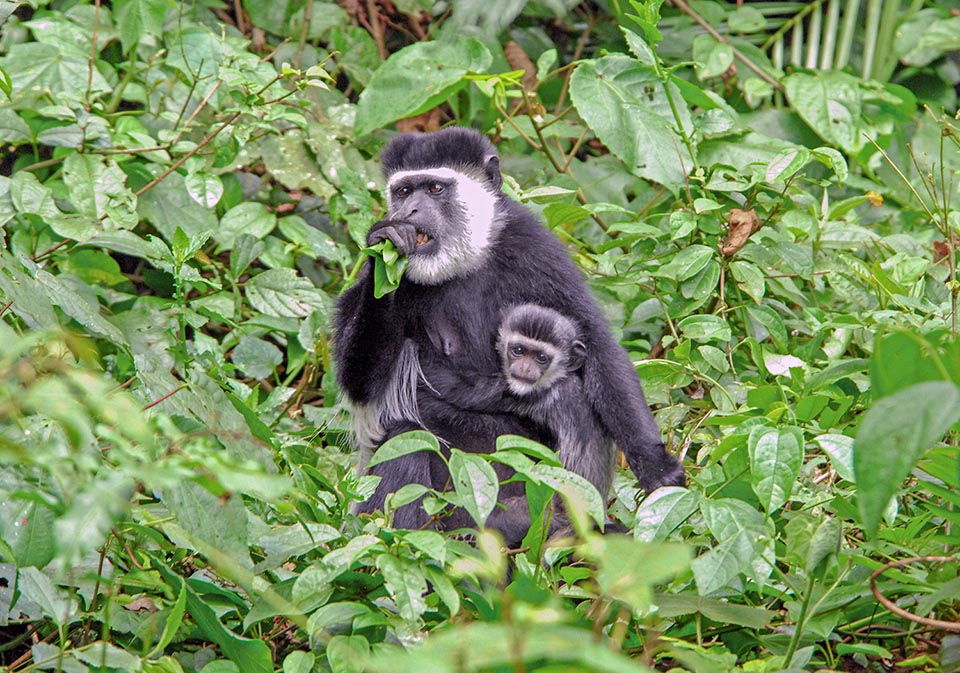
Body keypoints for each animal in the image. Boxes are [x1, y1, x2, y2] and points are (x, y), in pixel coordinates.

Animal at [334, 127, 688, 544]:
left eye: (435, 189)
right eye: (404, 192)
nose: (409, 213)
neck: (463, 264)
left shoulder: (532, 245)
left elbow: (598, 346)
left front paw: (659, 470)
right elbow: (362, 386)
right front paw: (384, 248)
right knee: (404, 440)